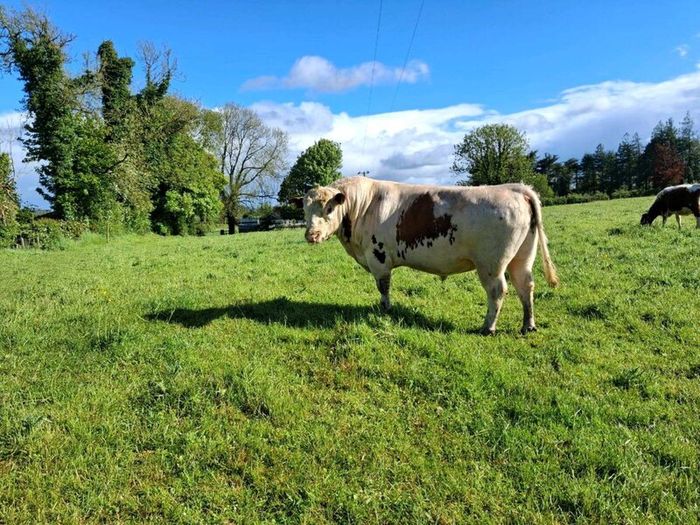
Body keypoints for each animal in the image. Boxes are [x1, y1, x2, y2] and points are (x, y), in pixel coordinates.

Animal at [300, 176, 559, 335]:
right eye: (304, 209)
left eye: (329, 208)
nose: (311, 235)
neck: (362, 206)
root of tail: (516, 187)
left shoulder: (378, 258)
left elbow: (383, 287)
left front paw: (385, 309)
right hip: (522, 257)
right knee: (526, 286)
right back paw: (528, 325)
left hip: (491, 264)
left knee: (498, 291)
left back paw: (488, 328)